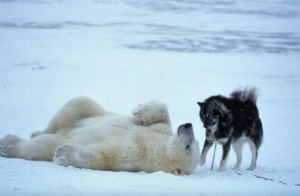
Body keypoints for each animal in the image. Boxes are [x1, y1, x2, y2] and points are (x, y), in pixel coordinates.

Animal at [1, 97, 202, 175]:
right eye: (193, 142)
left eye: (189, 146)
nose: (188, 125)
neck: (156, 148)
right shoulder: (162, 131)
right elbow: (163, 113)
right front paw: (140, 112)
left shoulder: (135, 156)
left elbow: (105, 156)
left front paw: (64, 153)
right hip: (85, 112)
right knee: (77, 104)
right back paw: (36, 131)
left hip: (58, 137)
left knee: (42, 145)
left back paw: (8, 144)